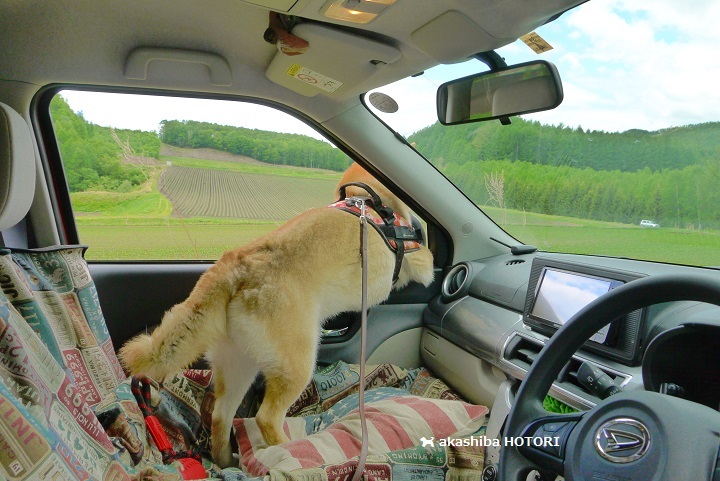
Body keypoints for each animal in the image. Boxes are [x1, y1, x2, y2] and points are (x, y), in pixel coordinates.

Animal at [119, 163, 434, 466]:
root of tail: (235, 266)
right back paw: (290, 449)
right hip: (297, 365)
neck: (368, 199)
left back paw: (226, 460)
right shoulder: (418, 256)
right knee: (266, 418)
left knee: (220, 416)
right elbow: (428, 261)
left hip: (238, 363)